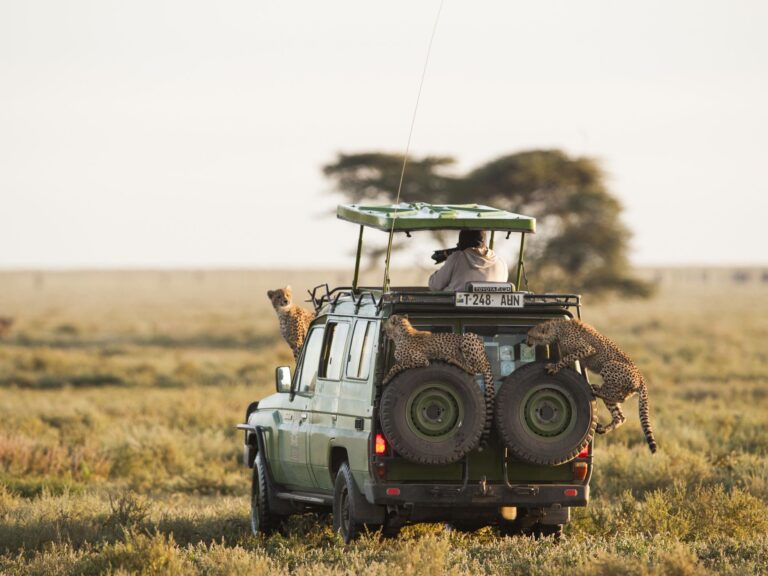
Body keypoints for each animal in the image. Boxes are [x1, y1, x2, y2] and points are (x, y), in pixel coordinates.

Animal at [380, 316, 496, 446]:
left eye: (386, 324)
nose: (383, 329)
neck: (401, 334)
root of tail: (486, 357)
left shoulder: (422, 360)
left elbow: (397, 365)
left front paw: (386, 378)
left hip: (469, 337)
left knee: (473, 369)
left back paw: (453, 359)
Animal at [528, 318, 660, 452]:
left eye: (530, 335)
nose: (526, 342)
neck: (558, 330)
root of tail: (641, 377)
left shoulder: (588, 349)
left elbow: (568, 358)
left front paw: (554, 367)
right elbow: (566, 359)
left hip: (609, 366)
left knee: (620, 398)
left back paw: (595, 389)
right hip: (615, 394)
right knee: (620, 416)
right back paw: (603, 426)